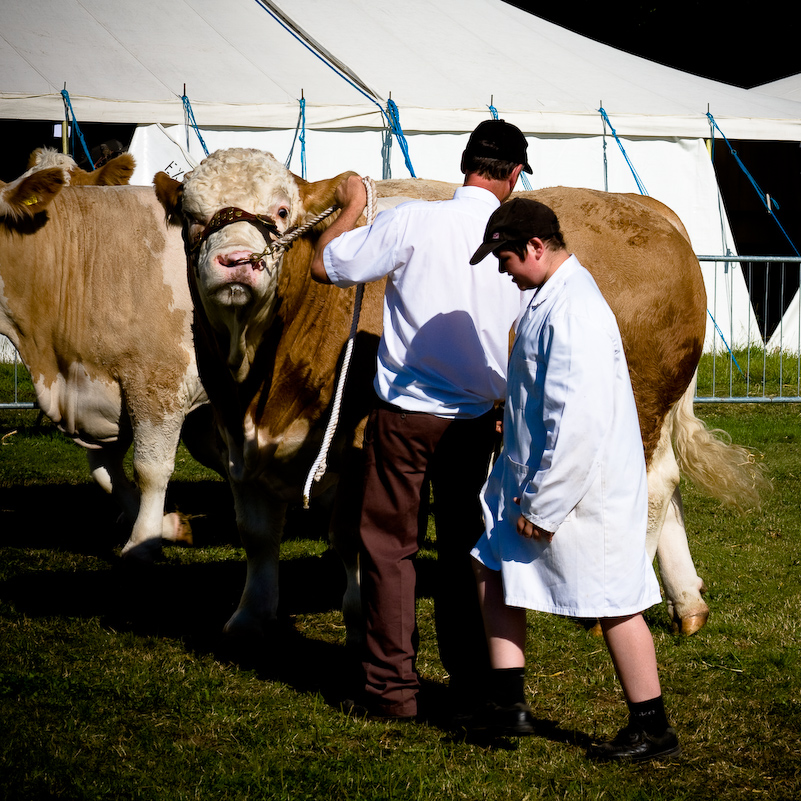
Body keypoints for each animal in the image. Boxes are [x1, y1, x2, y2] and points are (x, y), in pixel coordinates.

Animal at [0, 156, 216, 556]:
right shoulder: (99, 389)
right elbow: (105, 472)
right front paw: (168, 525)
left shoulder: (159, 382)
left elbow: (151, 469)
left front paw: (142, 541)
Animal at [155, 147, 764, 640]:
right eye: (192, 218)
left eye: (282, 212)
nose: (236, 262)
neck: (263, 382)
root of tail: (648, 210)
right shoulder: (239, 437)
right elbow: (258, 533)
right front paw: (250, 617)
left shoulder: (355, 437)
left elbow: (350, 532)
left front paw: (360, 609)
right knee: (667, 487)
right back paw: (687, 603)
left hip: (638, 401)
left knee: (653, 487)